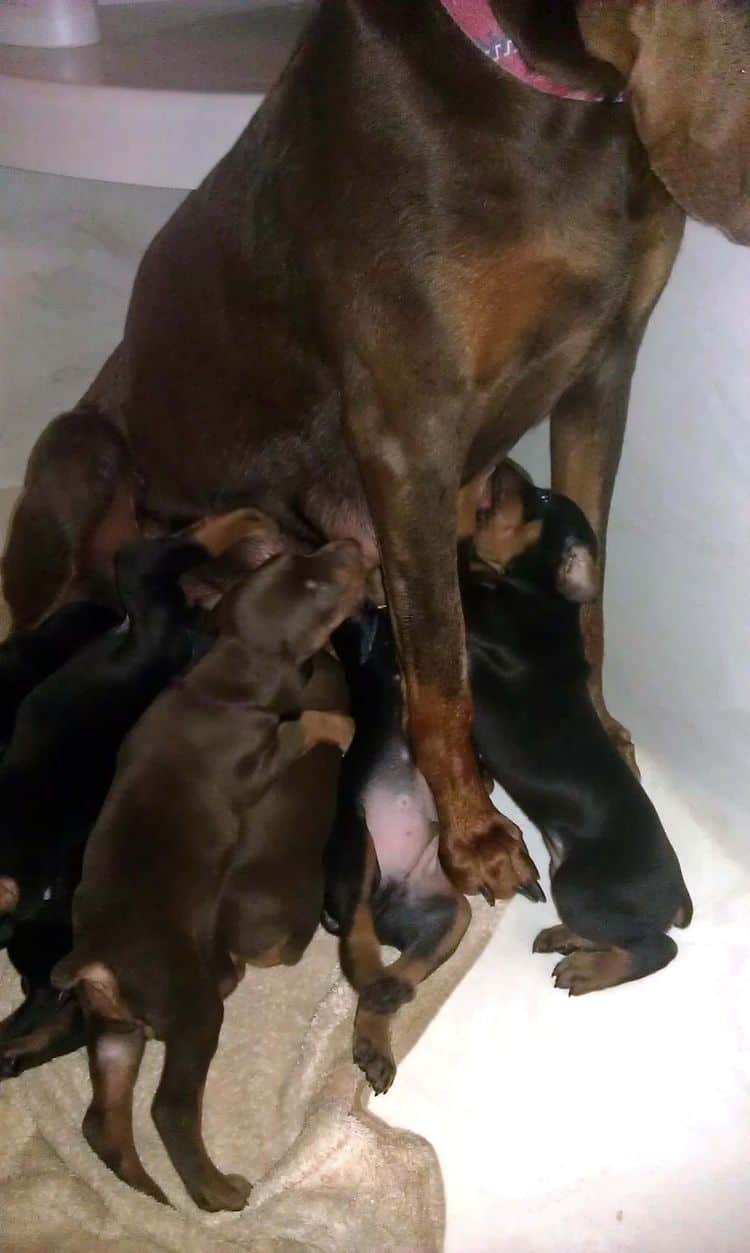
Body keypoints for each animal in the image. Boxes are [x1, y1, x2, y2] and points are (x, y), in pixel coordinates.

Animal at [2, 4, 746, 912]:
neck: (555, 101)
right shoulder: (410, 422)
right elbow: (439, 670)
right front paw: (473, 836)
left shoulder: (603, 374)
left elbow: (594, 603)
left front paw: (598, 729)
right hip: (82, 447)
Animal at [52, 538, 363, 1212]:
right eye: (317, 590)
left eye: (297, 559)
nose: (352, 544)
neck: (218, 686)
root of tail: (91, 958)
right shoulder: (262, 756)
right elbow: (307, 725)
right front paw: (341, 724)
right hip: (189, 1010)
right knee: (170, 1110)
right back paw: (219, 1193)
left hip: (114, 1028)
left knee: (103, 1117)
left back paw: (146, 1190)